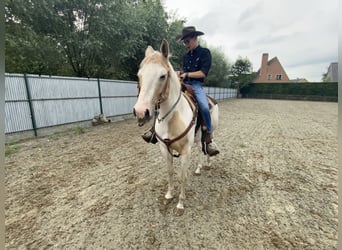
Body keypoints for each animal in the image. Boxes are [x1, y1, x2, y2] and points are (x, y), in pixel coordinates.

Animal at [133, 39, 219, 215]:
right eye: (139, 75)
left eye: (162, 76)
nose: (140, 112)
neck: (172, 118)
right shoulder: (164, 149)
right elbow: (170, 172)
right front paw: (169, 195)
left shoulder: (185, 151)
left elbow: (182, 176)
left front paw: (180, 204)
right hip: (197, 136)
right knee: (201, 148)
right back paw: (199, 168)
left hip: (210, 130)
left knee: (207, 144)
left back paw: (208, 161)